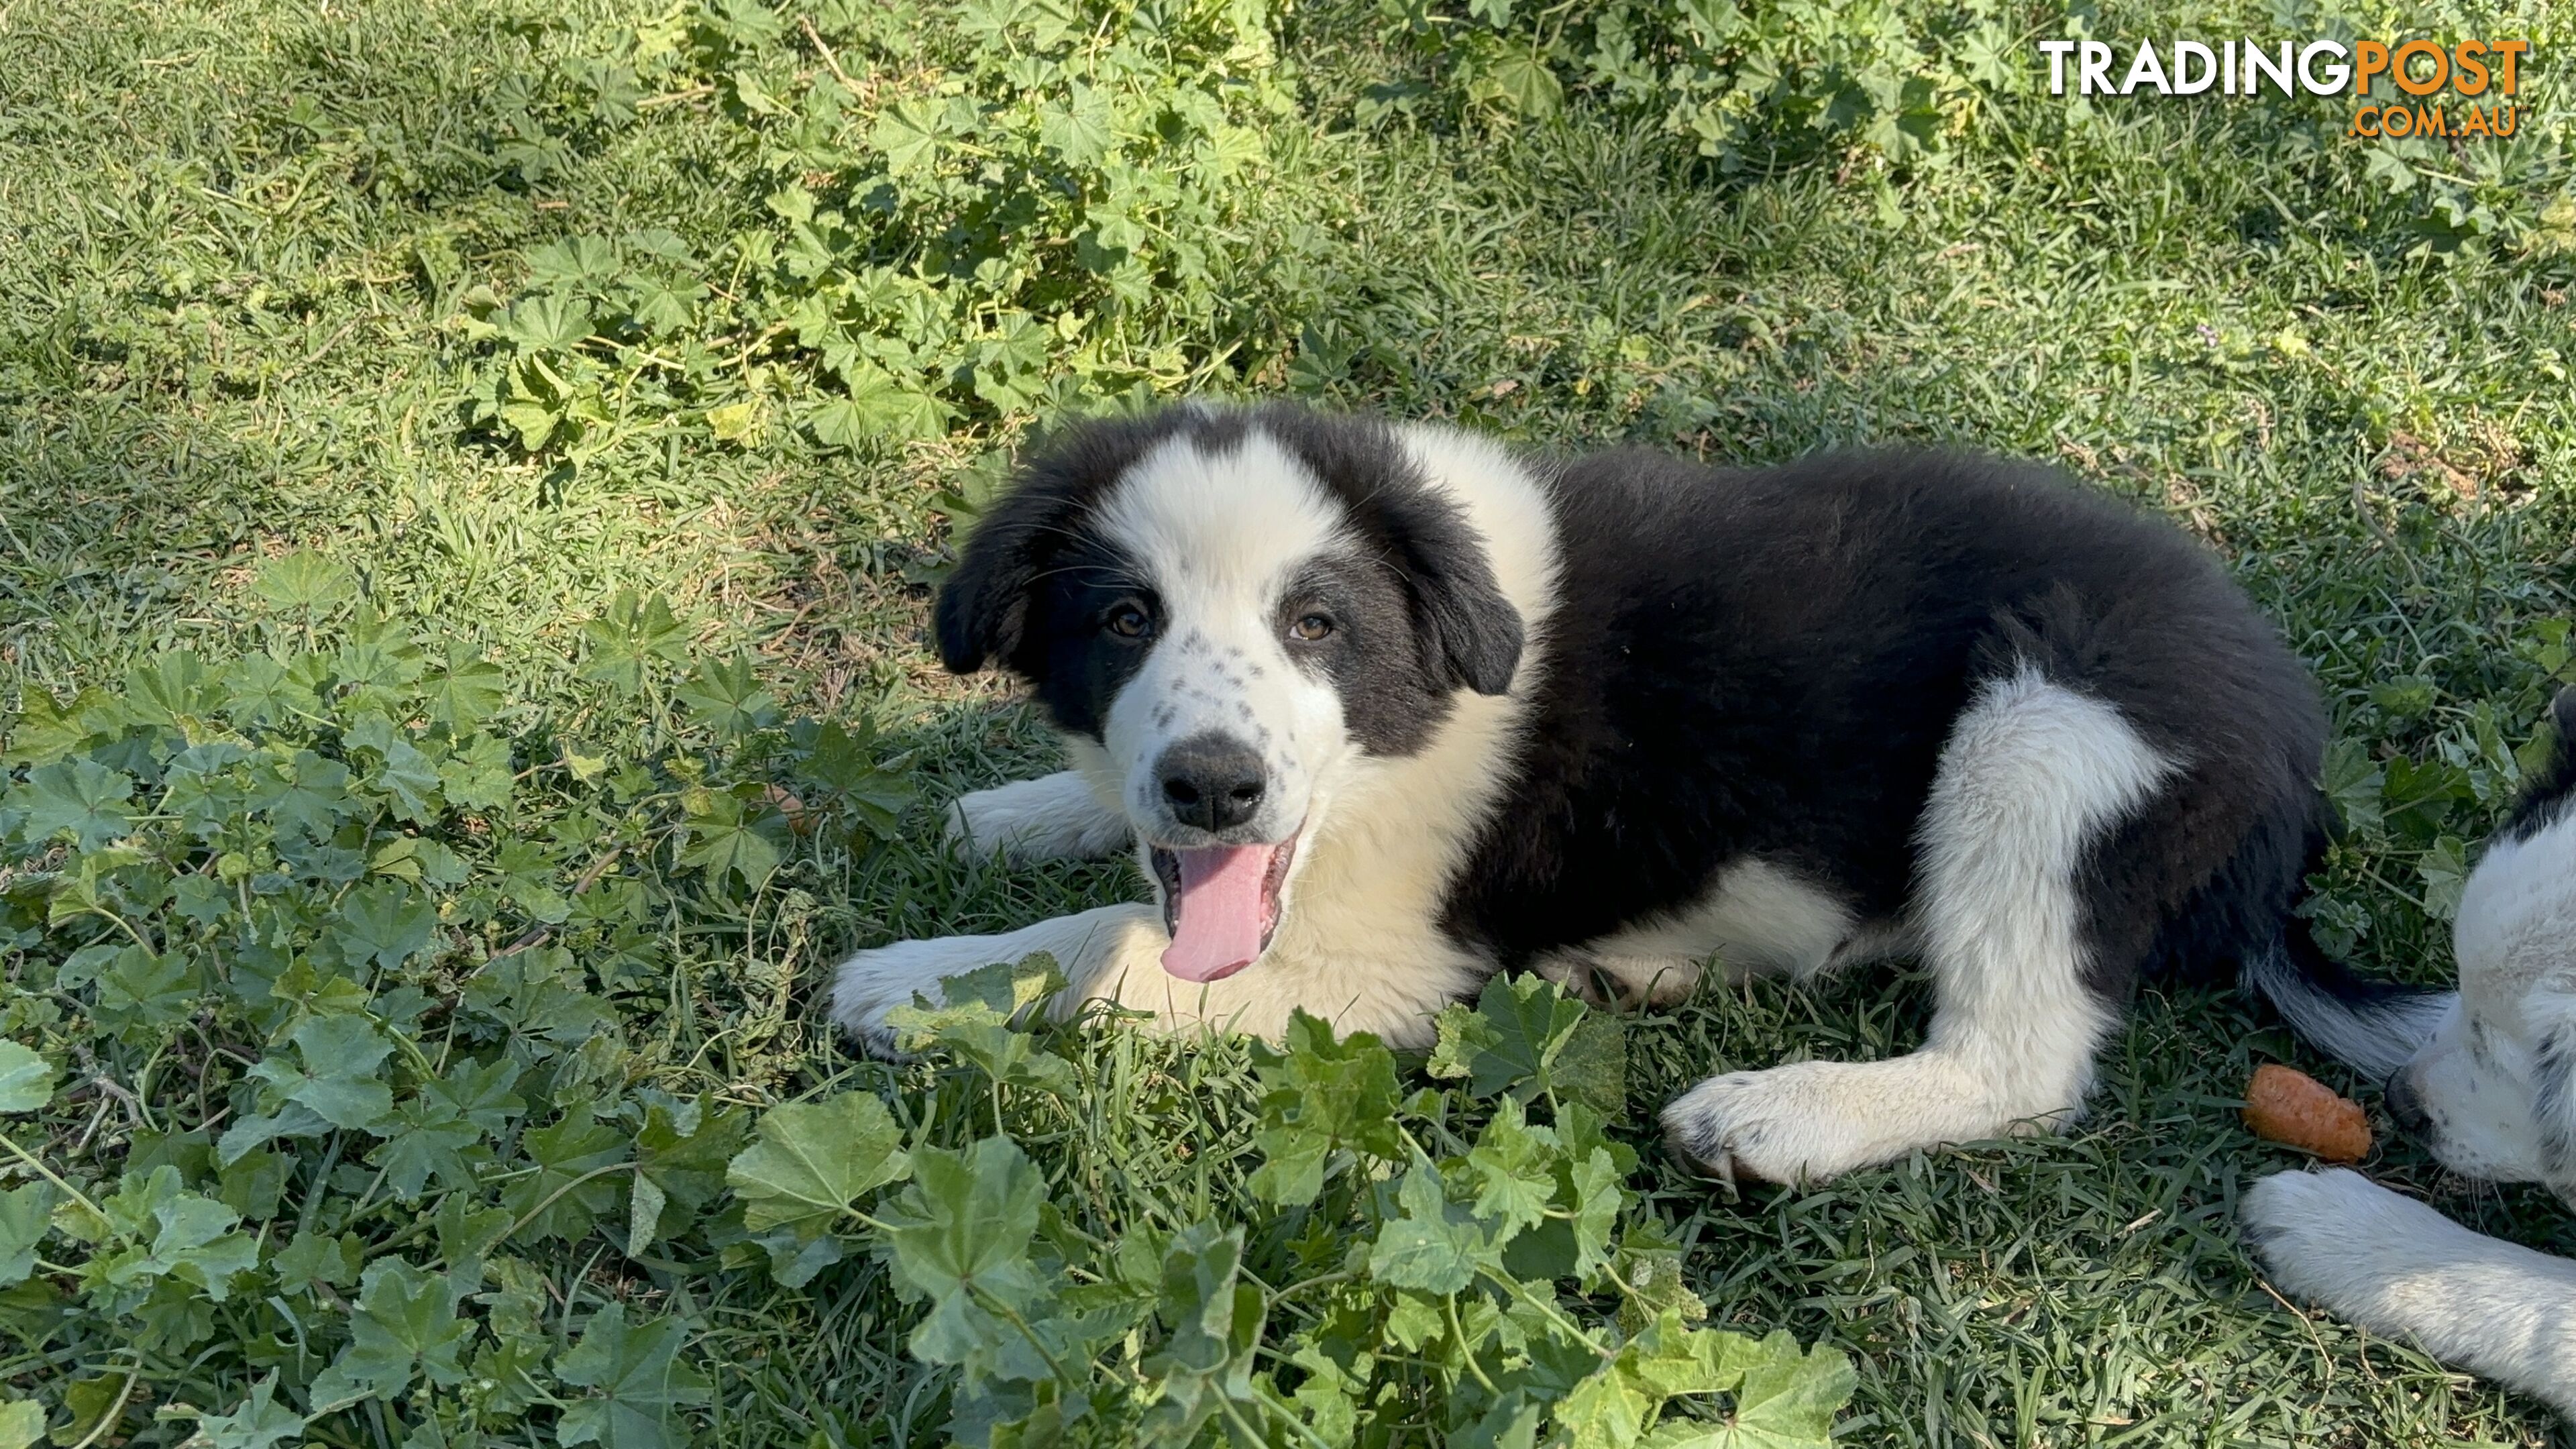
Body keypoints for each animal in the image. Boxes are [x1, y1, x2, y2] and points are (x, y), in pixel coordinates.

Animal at [835, 399, 2349, 1181]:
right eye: (1124, 621)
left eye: (1316, 625)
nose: (1213, 788)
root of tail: (2293, 765)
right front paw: (1016, 812)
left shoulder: (1392, 970)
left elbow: (1111, 943)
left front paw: (920, 979)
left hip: (2043, 730)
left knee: (2022, 1063)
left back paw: (1780, 1118)